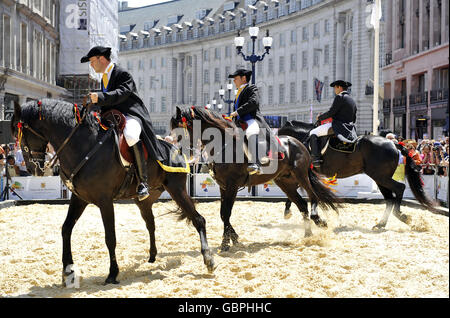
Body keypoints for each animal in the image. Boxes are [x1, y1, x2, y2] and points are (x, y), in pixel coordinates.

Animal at [10, 100, 214, 286]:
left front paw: (112, 273)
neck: (84, 145)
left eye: (21, 134)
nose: (33, 168)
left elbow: (110, 237)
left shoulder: (105, 201)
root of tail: (175, 149)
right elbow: (66, 229)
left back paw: (208, 259)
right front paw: (68, 271)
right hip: (144, 201)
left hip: (177, 190)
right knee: (151, 224)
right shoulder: (79, 198)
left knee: (198, 219)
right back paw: (152, 256)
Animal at [171, 107, 340, 251]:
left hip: (301, 175)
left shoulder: (232, 186)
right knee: (302, 205)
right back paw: (308, 235)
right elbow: (223, 214)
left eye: (180, 130)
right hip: (285, 182)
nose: (178, 153)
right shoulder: (223, 187)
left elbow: (226, 213)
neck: (224, 146)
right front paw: (233, 238)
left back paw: (319, 221)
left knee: (313, 197)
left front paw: (226, 242)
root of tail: (298, 142)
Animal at [278, 120, 436, 229]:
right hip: (380, 178)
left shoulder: (304, 173)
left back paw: (400, 216)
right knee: (390, 198)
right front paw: (288, 210)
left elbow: (297, 192)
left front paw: (289, 211)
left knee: (399, 188)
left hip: (380, 177)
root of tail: (393, 143)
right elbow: (294, 192)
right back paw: (381, 223)